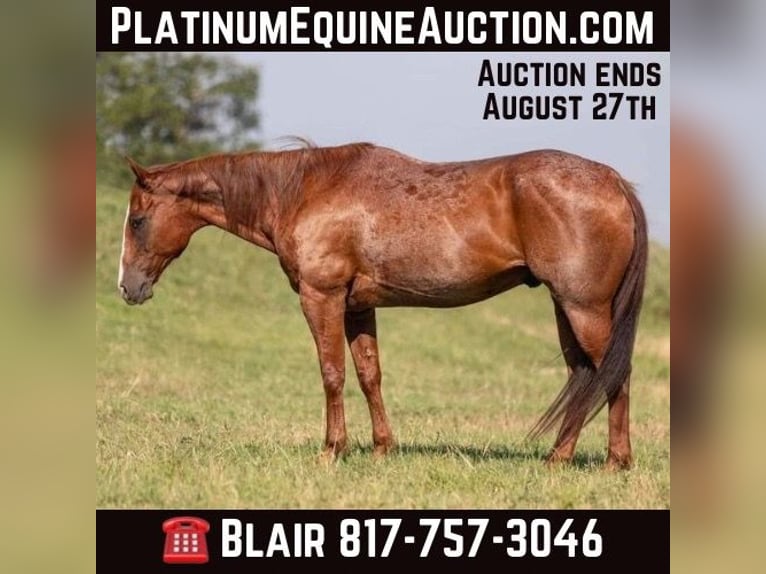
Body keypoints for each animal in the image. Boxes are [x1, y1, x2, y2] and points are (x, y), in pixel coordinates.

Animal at [117, 142, 647, 470]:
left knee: (613, 373)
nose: (128, 287)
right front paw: (380, 449)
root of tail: (614, 181)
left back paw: (615, 461)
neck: (304, 191)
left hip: (584, 308)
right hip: (566, 307)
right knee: (584, 375)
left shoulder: (322, 298)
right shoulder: (357, 307)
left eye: (138, 220)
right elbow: (369, 374)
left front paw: (332, 450)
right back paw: (558, 458)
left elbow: (332, 373)